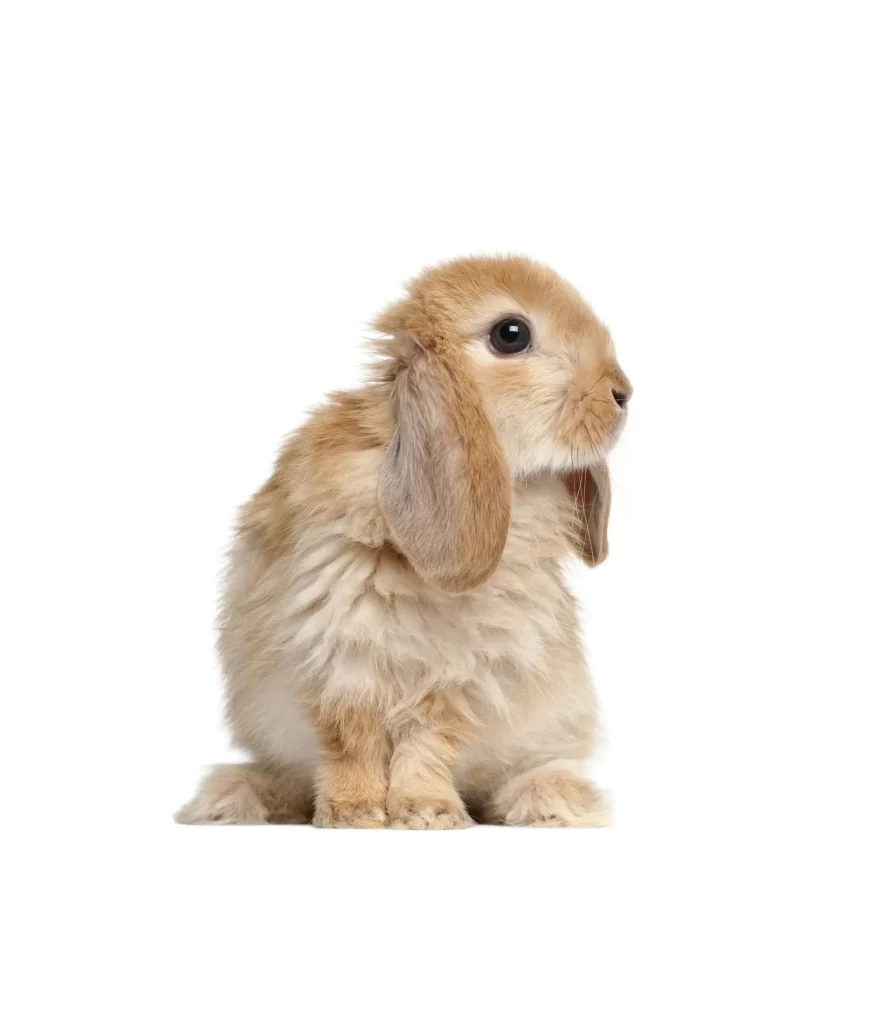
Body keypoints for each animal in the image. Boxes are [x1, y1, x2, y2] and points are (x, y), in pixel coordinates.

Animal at [175, 255, 632, 829]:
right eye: (511, 334)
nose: (623, 394)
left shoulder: (460, 676)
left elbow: (429, 742)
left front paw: (427, 811)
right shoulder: (340, 662)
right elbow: (350, 743)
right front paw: (354, 812)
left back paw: (553, 799)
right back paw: (232, 796)